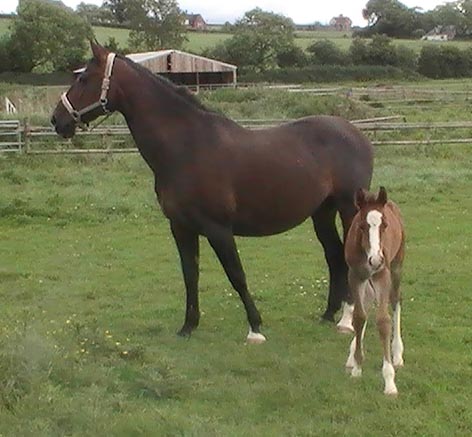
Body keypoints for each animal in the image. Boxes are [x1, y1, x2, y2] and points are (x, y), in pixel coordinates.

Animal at [50, 42, 372, 342]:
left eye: (84, 79)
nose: (57, 120)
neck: (187, 148)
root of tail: (357, 134)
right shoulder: (181, 228)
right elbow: (190, 275)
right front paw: (188, 326)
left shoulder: (218, 229)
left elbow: (236, 275)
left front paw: (255, 327)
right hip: (322, 212)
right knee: (333, 256)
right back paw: (329, 314)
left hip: (348, 209)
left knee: (350, 260)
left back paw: (347, 320)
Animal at [342, 186, 406, 394]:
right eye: (362, 226)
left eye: (384, 225)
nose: (376, 260)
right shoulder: (355, 275)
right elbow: (359, 317)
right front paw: (357, 367)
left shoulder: (382, 275)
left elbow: (383, 321)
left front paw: (389, 382)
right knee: (368, 301)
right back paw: (352, 354)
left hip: (396, 266)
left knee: (396, 300)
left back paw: (397, 354)